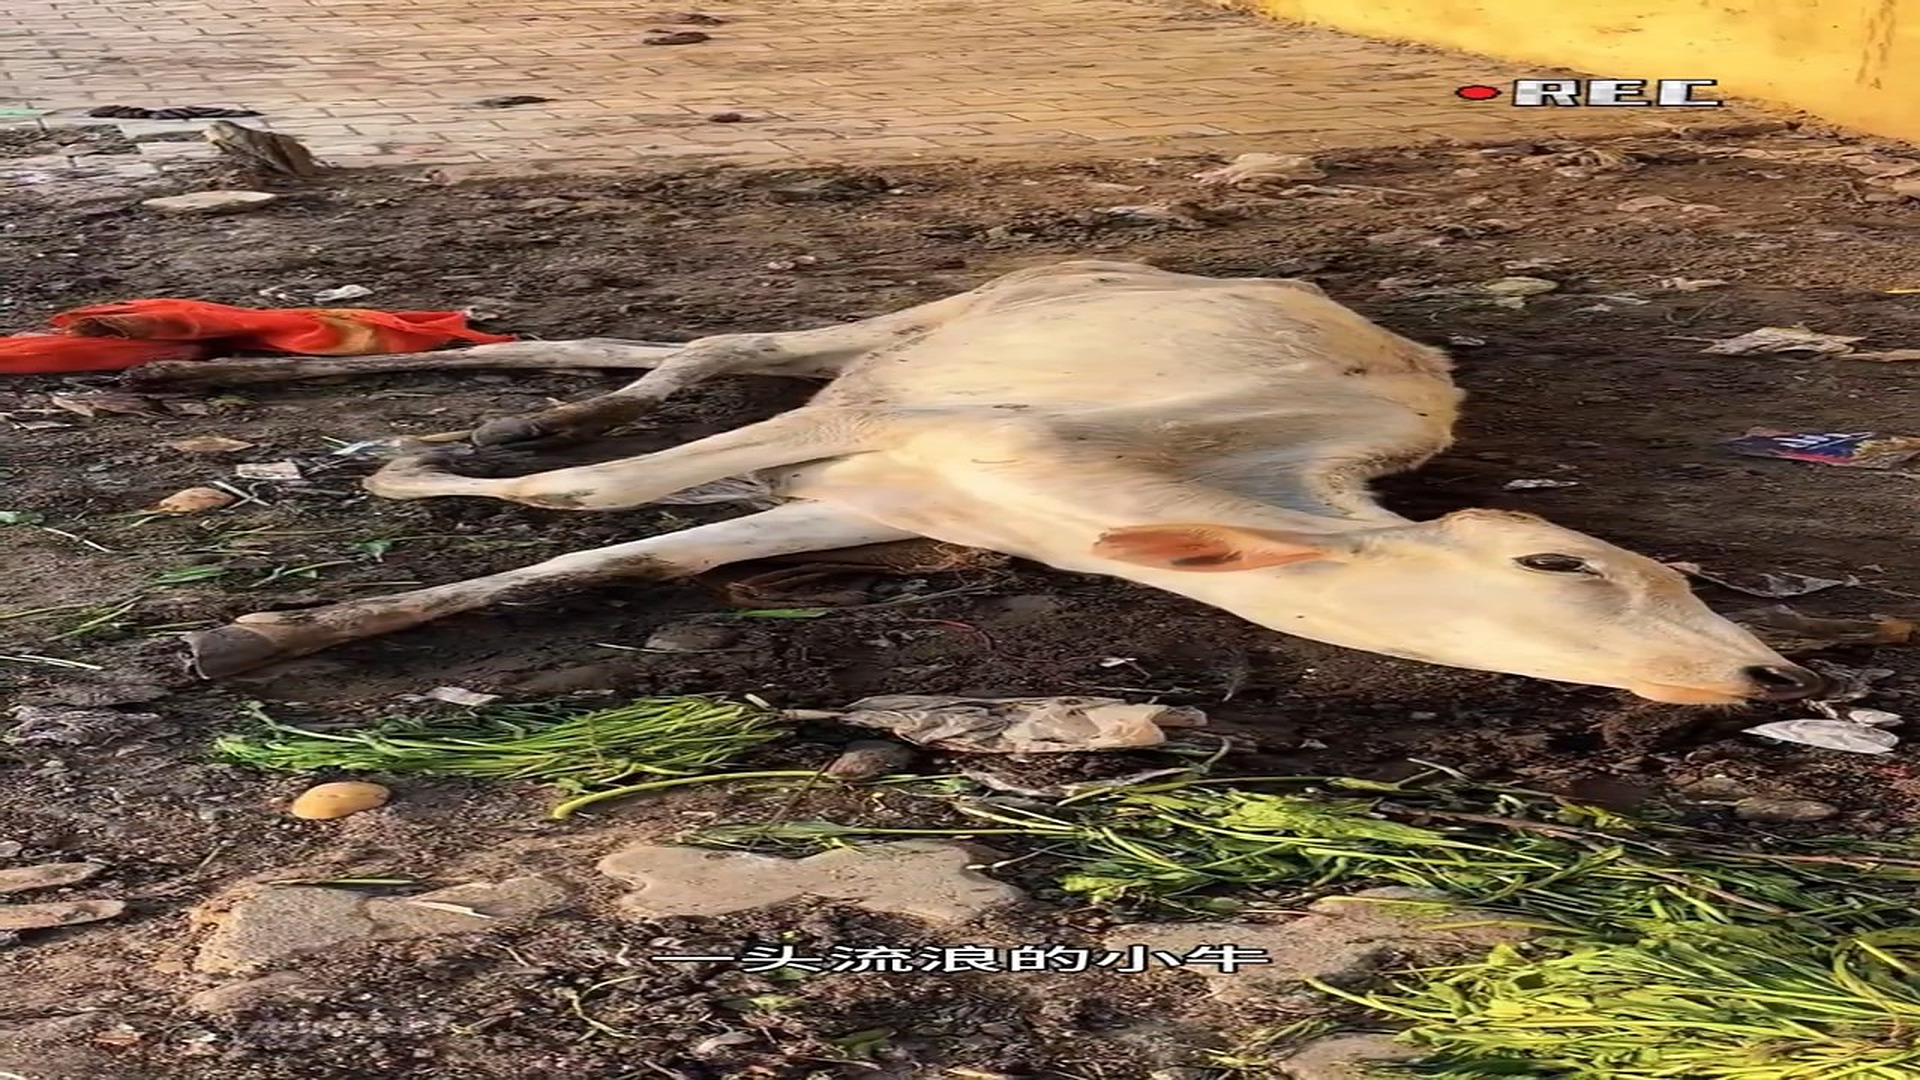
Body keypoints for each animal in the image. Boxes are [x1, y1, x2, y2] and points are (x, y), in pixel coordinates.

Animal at [160, 260, 1823, 705]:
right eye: (1563, 566)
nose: (1768, 674)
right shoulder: (908, 429)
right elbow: (599, 510)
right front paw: (398, 469)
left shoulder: (881, 491)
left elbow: (614, 553)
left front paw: (259, 636)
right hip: (921, 330)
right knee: (706, 347)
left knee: (685, 356)